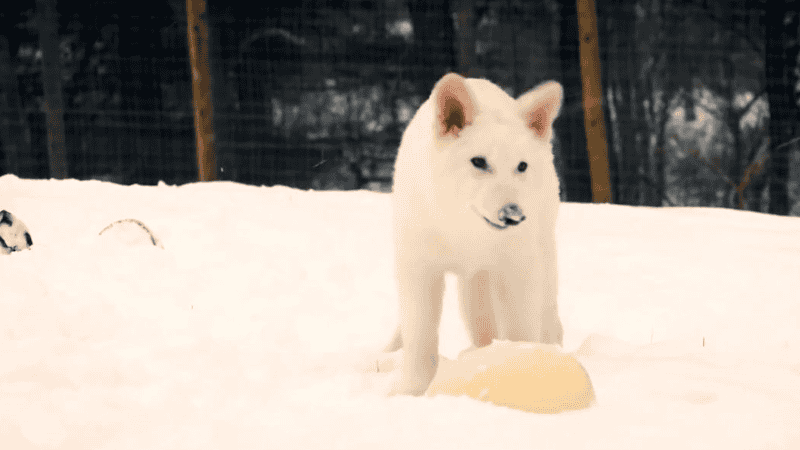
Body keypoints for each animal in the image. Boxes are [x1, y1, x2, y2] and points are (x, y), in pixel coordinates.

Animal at [385, 73, 564, 395]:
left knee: (547, 314)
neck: (466, 231)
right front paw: (413, 391)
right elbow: (420, 337)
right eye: (478, 161)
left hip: (540, 254)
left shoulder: (517, 270)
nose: (513, 215)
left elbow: (520, 330)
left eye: (521, 166)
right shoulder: (419, 269)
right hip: (474, 285)